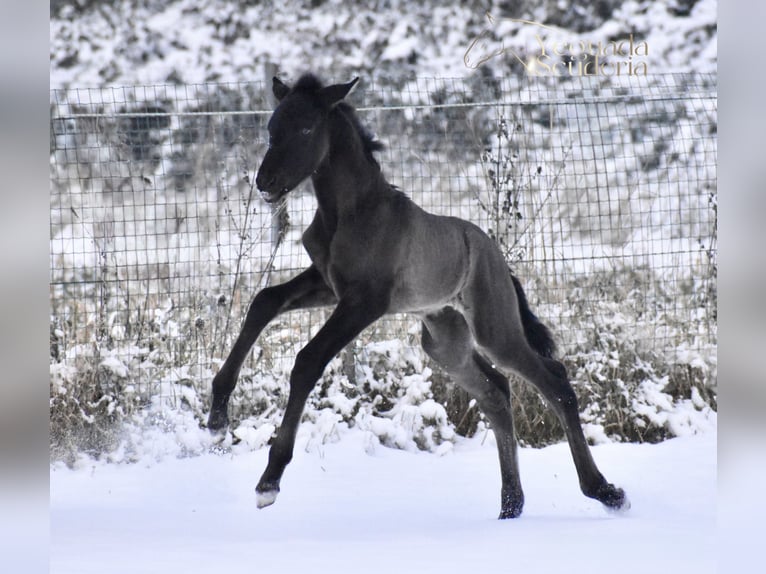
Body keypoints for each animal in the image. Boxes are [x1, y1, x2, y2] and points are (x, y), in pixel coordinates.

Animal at [207, 73, 629, 518]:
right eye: (271, 129)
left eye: (306, 128)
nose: (265, 183)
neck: (350, 212)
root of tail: (496, 256)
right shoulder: (326, 283)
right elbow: (263, 302)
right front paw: (217, 421)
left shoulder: (365, 301)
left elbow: (307, 360)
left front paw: (269, 481)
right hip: (445, 341)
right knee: (496, 392)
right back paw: (511, 505)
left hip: (495, 329)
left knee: (555, 381)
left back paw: (605, 490)